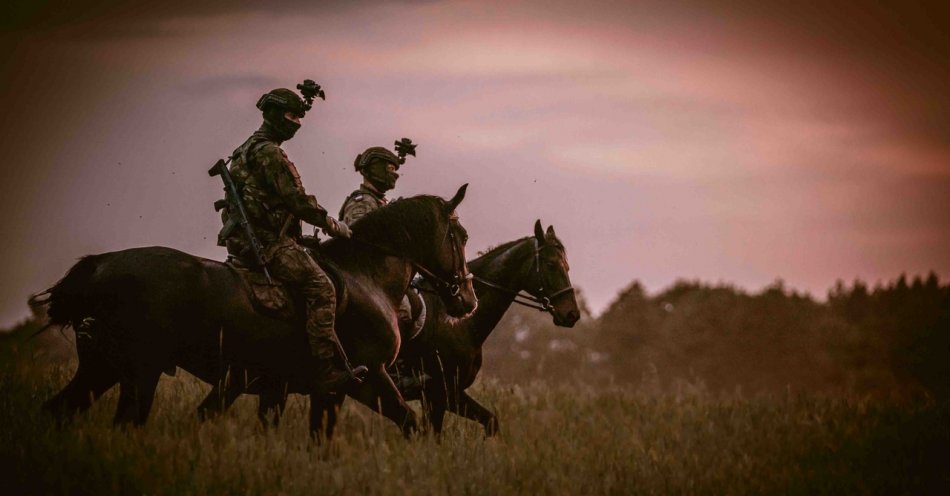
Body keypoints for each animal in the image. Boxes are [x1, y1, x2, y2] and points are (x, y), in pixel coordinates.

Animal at [33, 186, 480, 438]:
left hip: (102, 368)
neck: (365, 275)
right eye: (460, 234)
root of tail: (101, 265)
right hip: (140, 372)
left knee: (56, 411)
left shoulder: (318, 390)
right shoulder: (368, 379)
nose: (468, 299)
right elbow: (413, 425)